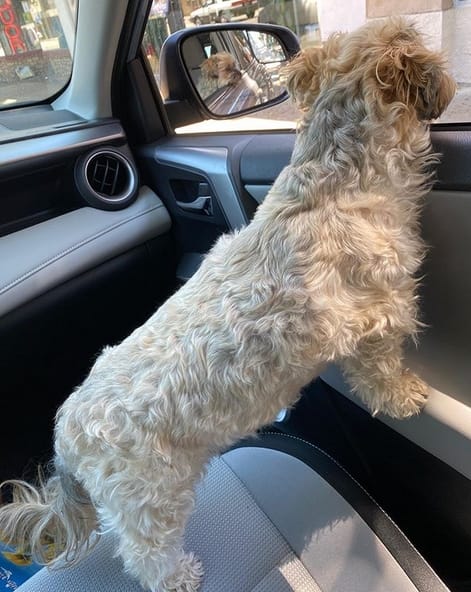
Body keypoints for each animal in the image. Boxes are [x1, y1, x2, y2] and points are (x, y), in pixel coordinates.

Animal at [0, 18, 455, 592]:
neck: (336, 179)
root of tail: (66, 430)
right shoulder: (377, 319)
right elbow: (382, 370)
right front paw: (404, 396)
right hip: (150, 498)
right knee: (144, 552)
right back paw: (177, 576)